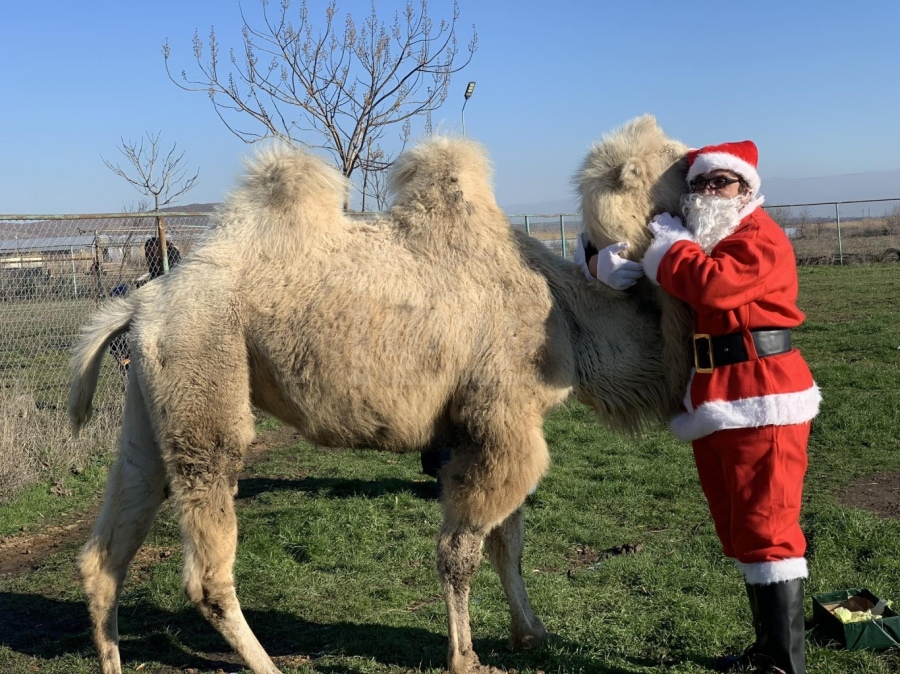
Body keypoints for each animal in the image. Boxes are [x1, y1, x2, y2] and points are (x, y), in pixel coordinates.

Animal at [72, 115, 688, 672]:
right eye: (682, 162)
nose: (714, 171)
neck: (567, 316)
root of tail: (142, 301)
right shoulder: (498, 421)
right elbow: (460, 552)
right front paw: (464, 657)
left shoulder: (504, 427)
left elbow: (507, 542)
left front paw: (530, 634)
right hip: (205, 375)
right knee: (205, 567)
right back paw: (267, 665)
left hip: (152, 401)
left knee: (106, 552)